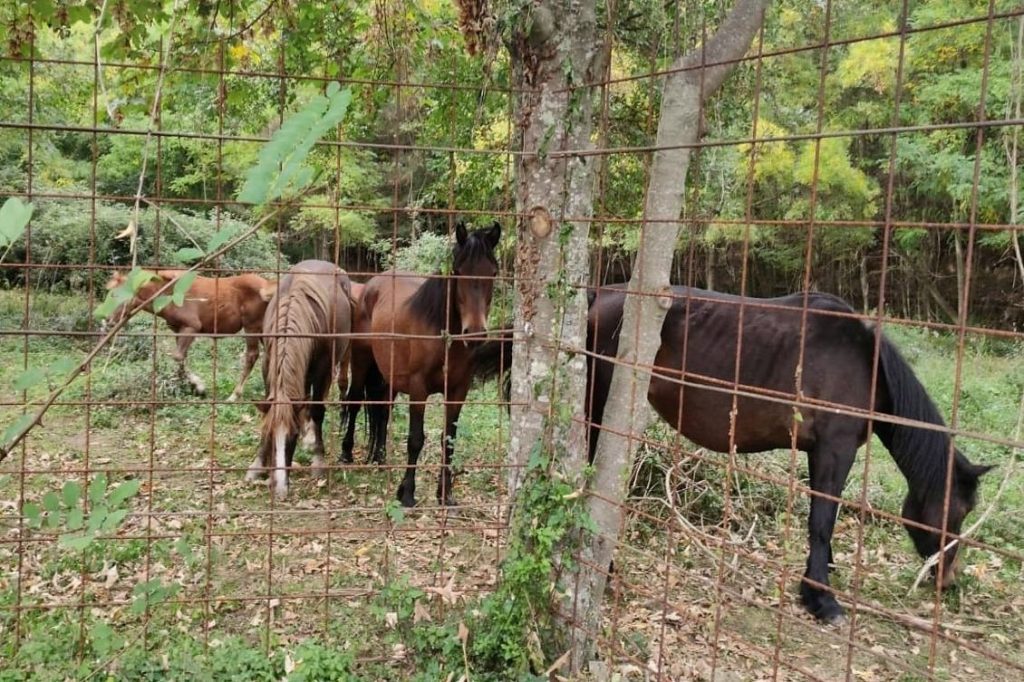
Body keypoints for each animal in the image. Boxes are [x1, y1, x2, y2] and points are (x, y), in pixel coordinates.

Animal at [105, 270, 271, 401]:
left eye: (116, 295)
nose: (107, 320)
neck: (169, 293)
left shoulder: (192, 327)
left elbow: (178, 356)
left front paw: (199, 386)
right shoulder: (178, 330)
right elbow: (181, 359)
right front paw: (194, 387)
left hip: (251, 326)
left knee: (252, 355)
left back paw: (234, 395)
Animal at [243, 260, 353, 498]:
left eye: (292, 436)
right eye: (270, 435)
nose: (280, 487)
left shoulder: (322, 369)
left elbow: (317, 410)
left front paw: (318, 460)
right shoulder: (268, 364)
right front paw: (258, 464)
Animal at [341, 222, 502, 507]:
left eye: (492, 272)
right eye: (457, 271)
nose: (474, 333)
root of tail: (370, 286)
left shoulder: (458, 391)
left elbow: (449, 440)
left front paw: (445, 494)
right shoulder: (418, 389)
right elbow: (416, 439)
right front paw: (407, 493)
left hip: (389, 375)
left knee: (383, 410)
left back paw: (380, 458)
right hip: (361, 362)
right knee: (355, 401)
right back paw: (346, 454)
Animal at [586, 285, 993, 624]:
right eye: (959, 511)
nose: (948, 580)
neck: (867, 364)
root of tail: (599, 296)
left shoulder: (819, 451)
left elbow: (822, 517)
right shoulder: (835, 449)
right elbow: (822, 521)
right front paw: (821, 599)